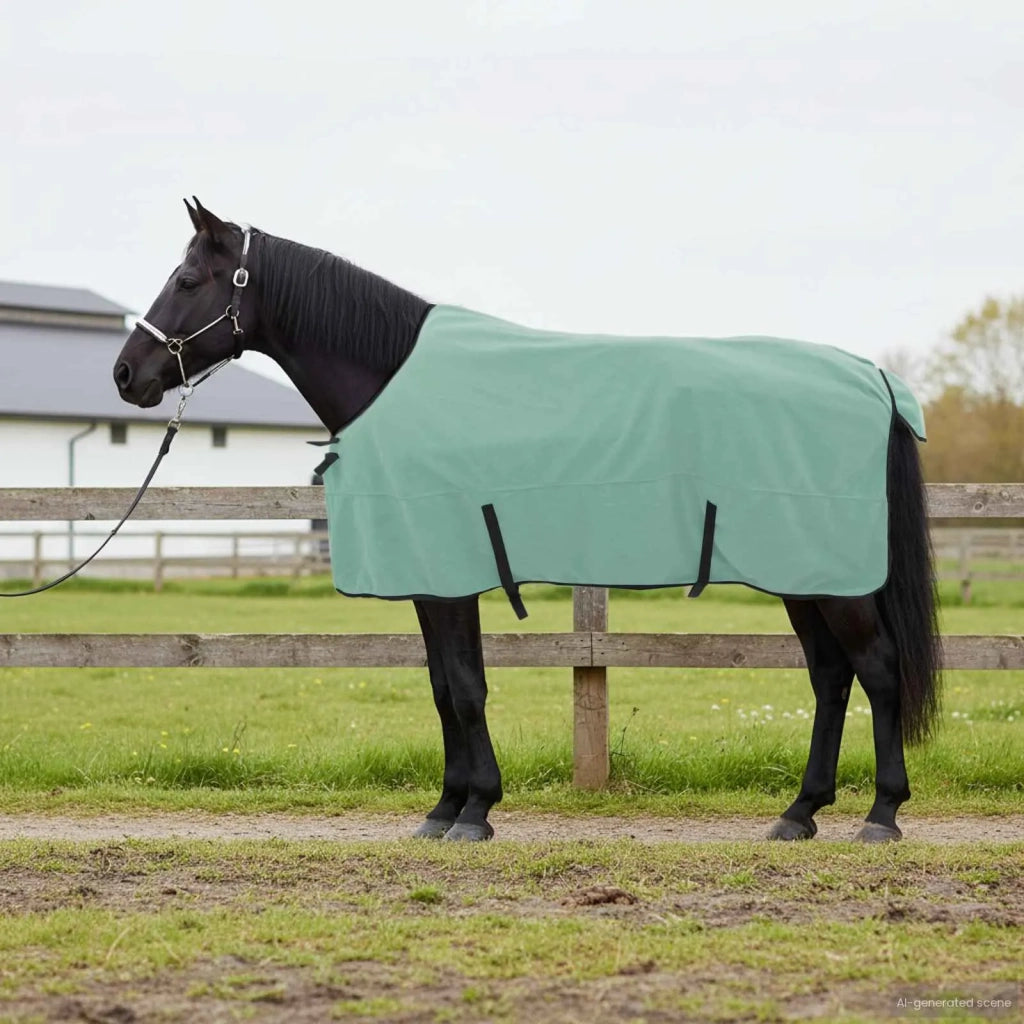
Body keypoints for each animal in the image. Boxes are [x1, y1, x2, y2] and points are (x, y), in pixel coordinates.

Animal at [112, 198, 941, 843]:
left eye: (187, 280)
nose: (126, 374)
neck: (400, 382)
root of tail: (871, 378)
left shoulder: (448, 577)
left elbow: (465, 687)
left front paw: (474, 811)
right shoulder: (432, 580)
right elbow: (444, 685)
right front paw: (447, 807)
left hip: (830, 578)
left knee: (877, 668)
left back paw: (881, 814)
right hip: (803, 574)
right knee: (831, 676)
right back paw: (800, 813)